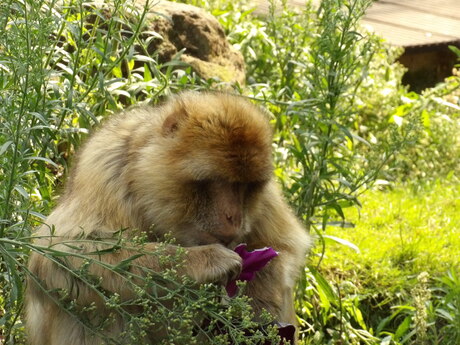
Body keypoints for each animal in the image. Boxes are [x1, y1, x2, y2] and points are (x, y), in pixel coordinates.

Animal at [26, 91, 312, 344]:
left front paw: (255, 308)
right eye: (218, 182)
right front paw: (206, 261)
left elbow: (284, 246)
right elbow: (59, 252)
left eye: (246, 186)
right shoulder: (105, 168)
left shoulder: (266, 197)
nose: (234, 217)